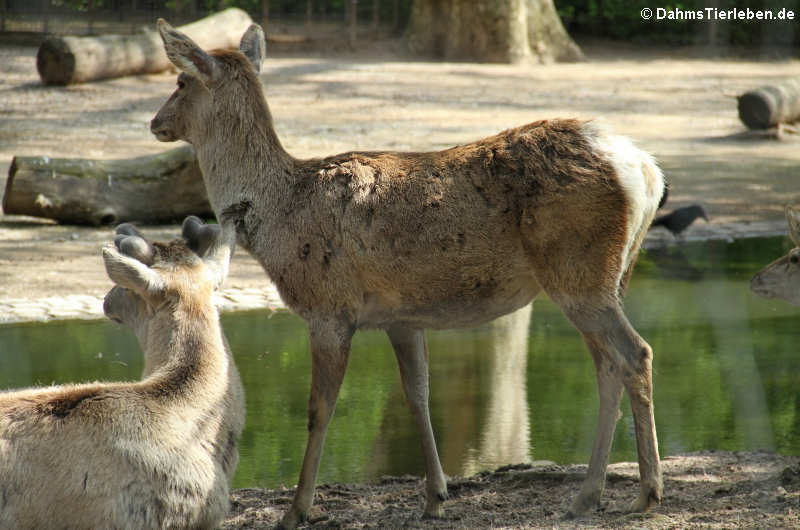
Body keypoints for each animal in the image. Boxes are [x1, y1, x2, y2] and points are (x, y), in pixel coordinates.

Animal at [153, 19, 664, 524]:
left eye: (180, 81)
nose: (155, 122)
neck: (279, 216)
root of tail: (645, 168)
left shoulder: (328, 308)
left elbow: (319, 410)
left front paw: (296, 510)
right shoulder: (401, 316)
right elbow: (418, 394)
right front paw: (436, 496)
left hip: (578, 269)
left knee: (634, 353)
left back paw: (646, 493)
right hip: (610, 276)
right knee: (607, 365)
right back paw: (587, 496)